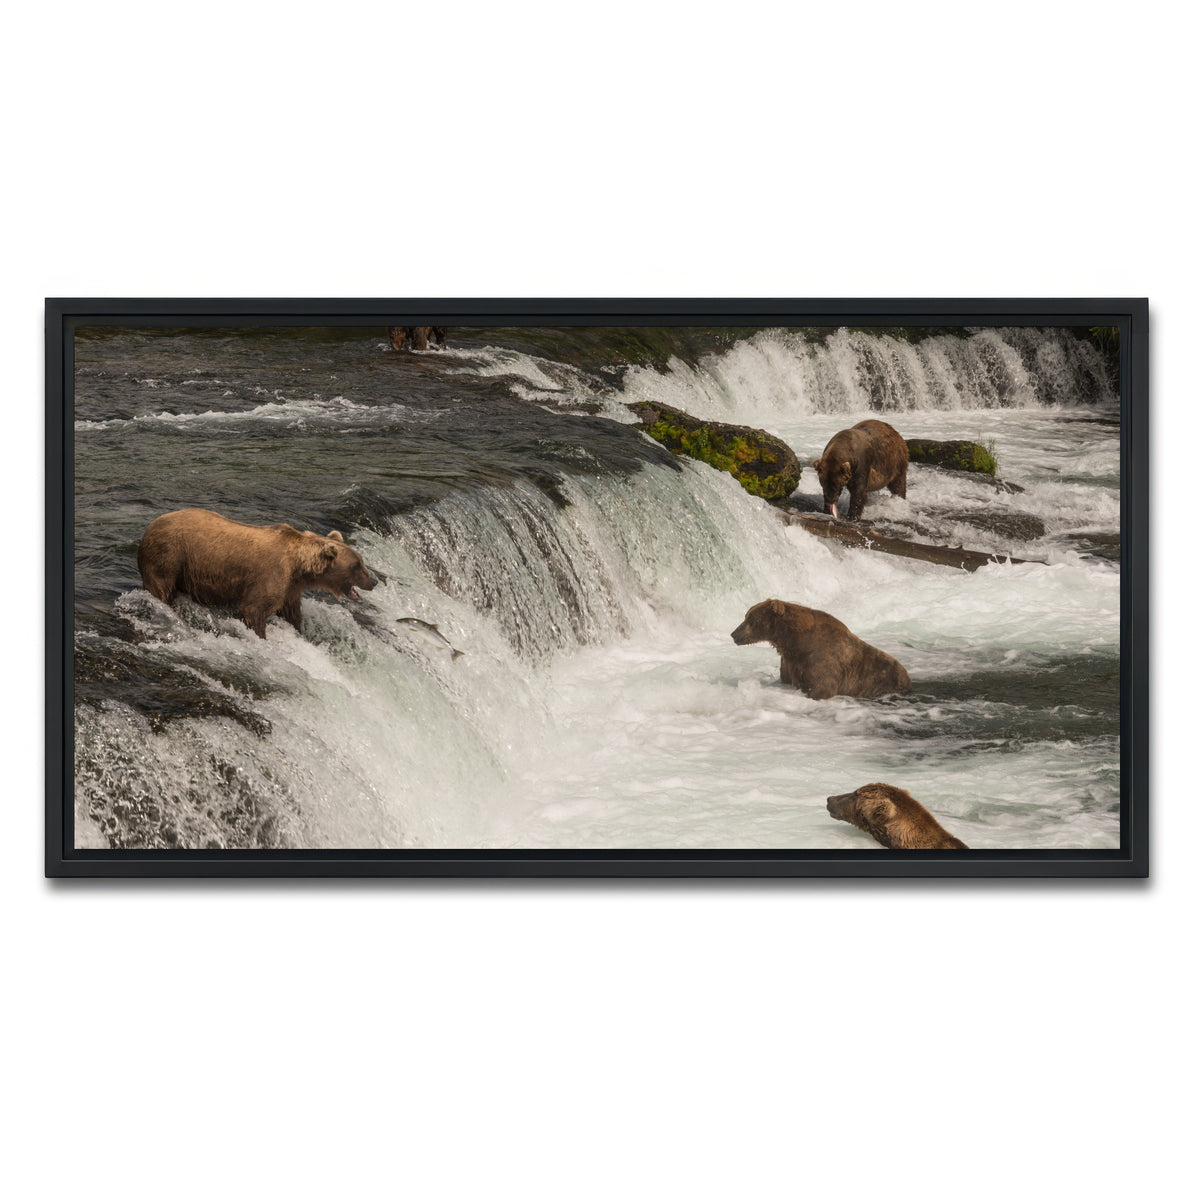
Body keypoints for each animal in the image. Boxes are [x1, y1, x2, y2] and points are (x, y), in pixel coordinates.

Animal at [137, 508, 378, 638]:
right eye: (358, 565)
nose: (374, 581)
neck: (299, 567)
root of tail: (149, 527)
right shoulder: (271, 575)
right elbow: (254, 609)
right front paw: (261, 635)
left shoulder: (291, 588)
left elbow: (292, 613)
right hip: (169, 556)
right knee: (162, 589)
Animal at [730, 598, 911, 699]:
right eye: (746, 616)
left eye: (750, 619)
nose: (733, 634)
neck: (794, 641)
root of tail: (907, 676)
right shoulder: (790, 661)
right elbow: (786, 678)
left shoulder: (822, 658)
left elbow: (823, 687)